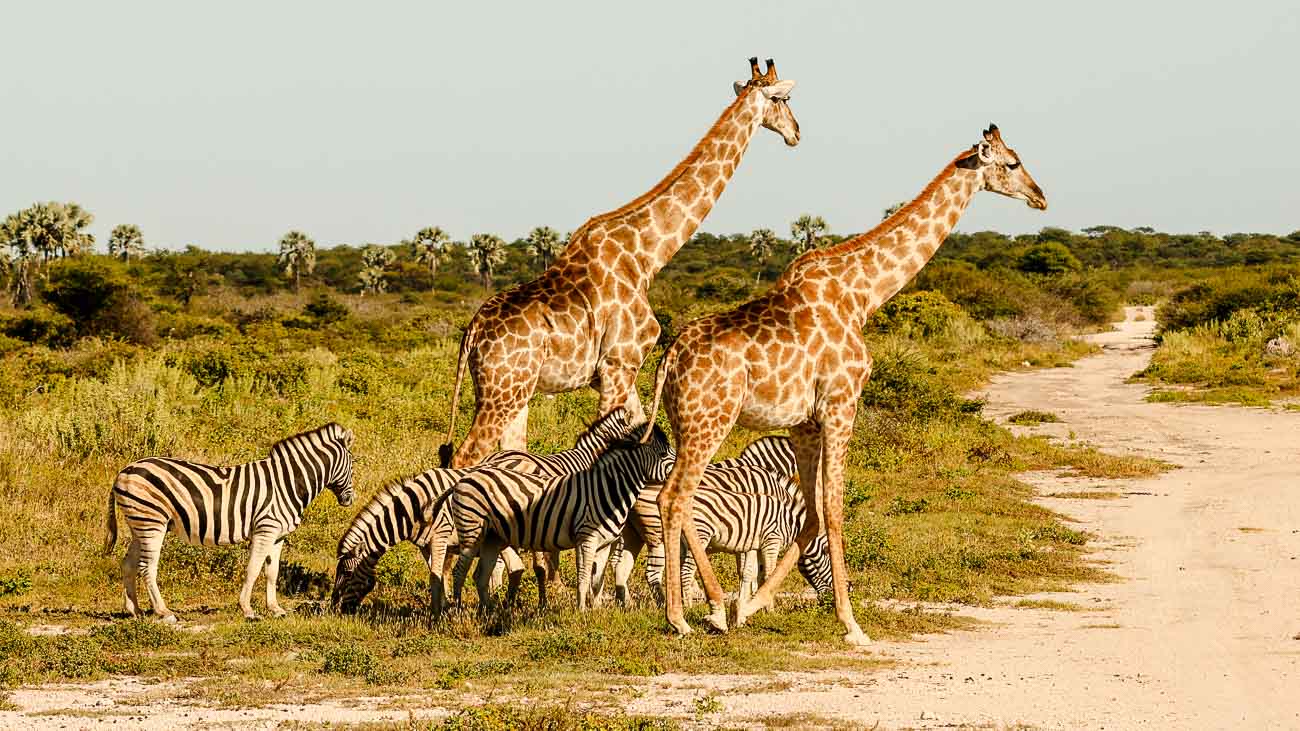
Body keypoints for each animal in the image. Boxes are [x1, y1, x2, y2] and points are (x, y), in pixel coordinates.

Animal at [104, 422, 356, 622]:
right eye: (353, 465)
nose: (350, 500)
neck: (289, 482)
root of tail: (124, 471)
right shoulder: (265, 529)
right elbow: (253, 569)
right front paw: (248, 610)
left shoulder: (278, 535)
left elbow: (272, 572)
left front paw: (276, 609)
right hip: (151, 523)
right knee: (147, 567)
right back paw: (164, 612)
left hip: (140, 525)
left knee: (128, 564)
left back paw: (134, 610)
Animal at [439, 423, 674, 613]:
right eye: (664, 455)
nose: (678, 479)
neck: (606, 488)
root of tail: (465, 478)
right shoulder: (586, 538)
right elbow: (583, 576)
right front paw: (581, 611)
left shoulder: (603, 544)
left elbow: (596, 579)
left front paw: (597, 609)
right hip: (472, 531)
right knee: (460, 570)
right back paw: (458, 611)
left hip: (492, 537)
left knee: (480, 574)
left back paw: (488, 611)